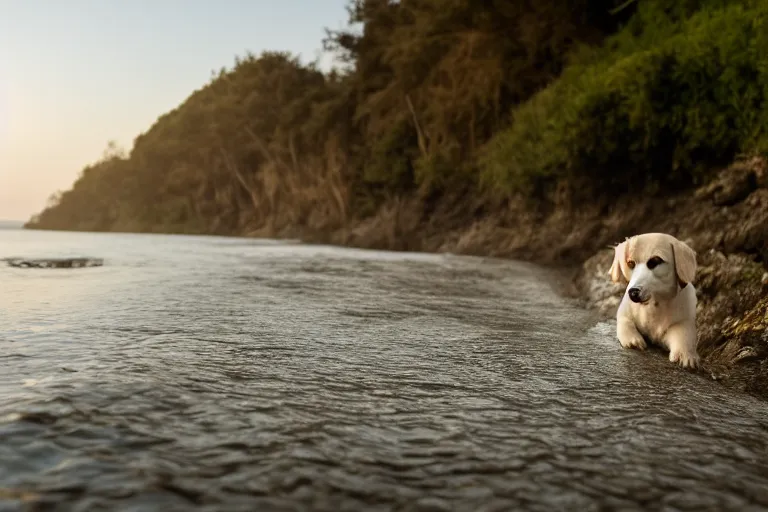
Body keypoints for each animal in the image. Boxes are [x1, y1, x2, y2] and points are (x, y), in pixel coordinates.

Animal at [608, 232, 700, 368]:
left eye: (655, 261)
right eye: (630, 263)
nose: (633, 292)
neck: (654, 305)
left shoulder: (683, 322)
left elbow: (684, 336)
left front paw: (685, 355)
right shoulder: (624, 312)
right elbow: (625, 322)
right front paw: (633, 340)